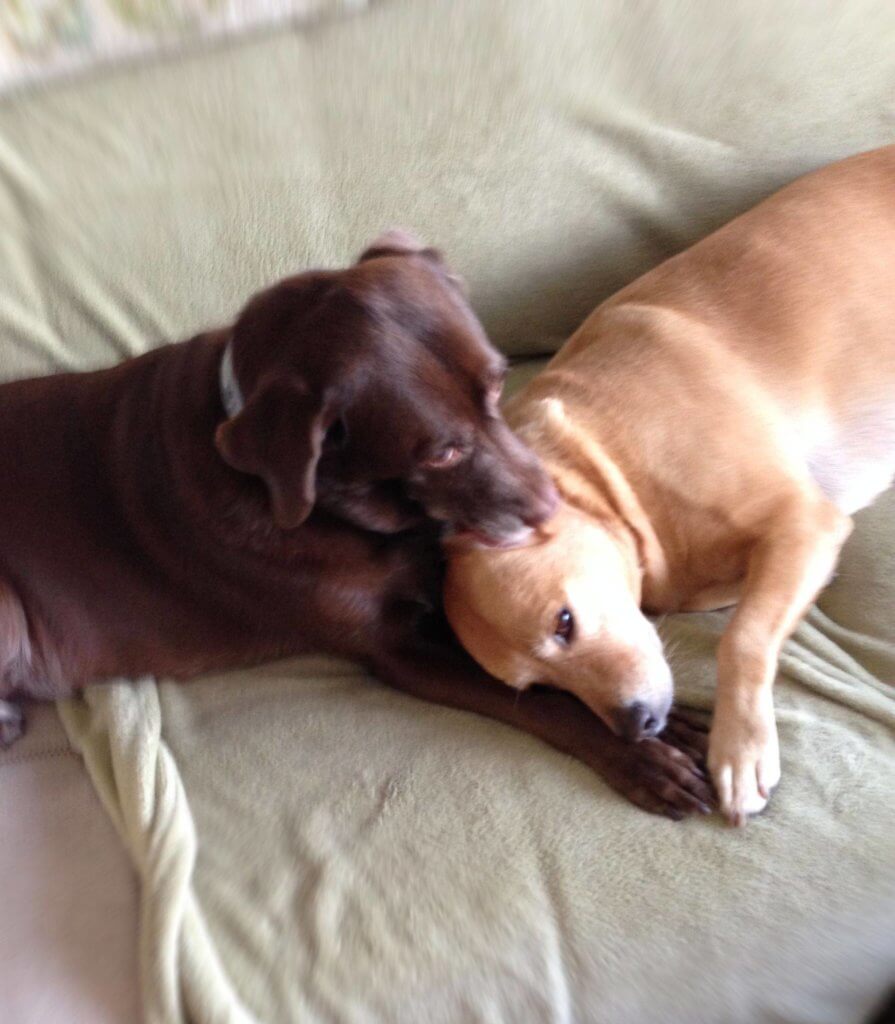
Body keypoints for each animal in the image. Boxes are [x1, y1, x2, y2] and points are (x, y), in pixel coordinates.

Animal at [0, 230, 712, 815]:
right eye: (441, 451)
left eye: (498, 383)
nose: (549, 510)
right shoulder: (392, 650)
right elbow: (538, 698)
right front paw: (639, 755)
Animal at [442, 146, 892, 823]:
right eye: (541, 687)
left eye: (565, 623)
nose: (638, 727)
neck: (611, 467)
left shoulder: (803, 521)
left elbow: (744, 636)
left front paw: (740, 748)